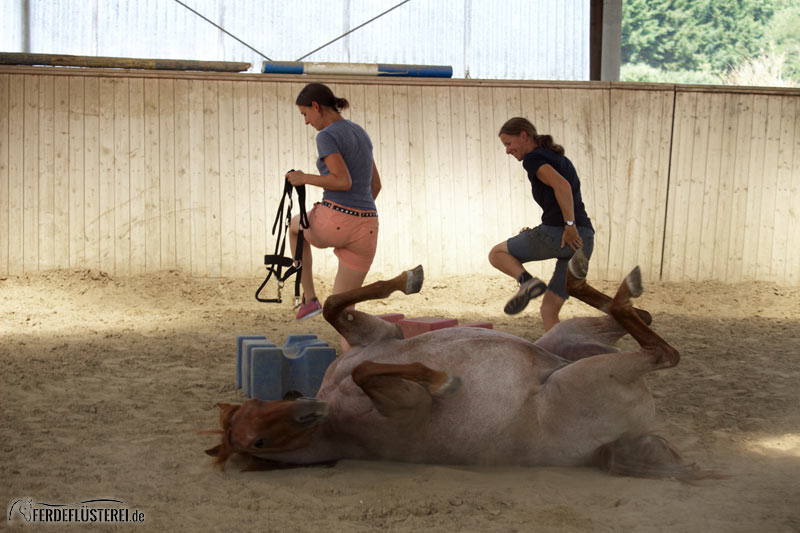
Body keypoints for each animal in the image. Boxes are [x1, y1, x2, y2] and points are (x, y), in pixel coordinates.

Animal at [206, 251, 712, 480]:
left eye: (264, 402)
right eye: (257, 441)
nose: (309, 407)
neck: (337, 416)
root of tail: (623, 442)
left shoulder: (379, 338)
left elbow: (335, 306)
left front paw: (408, 279)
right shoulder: (404, 408)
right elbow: (371, 372)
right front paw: (443, 380)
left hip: (568, 341)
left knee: (639, 318)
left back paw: (598, 281)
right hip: (588, 375)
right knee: (662, 352)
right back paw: (601, 284)